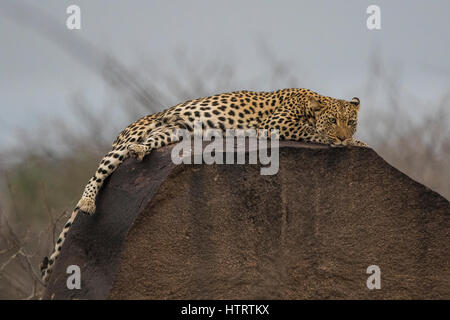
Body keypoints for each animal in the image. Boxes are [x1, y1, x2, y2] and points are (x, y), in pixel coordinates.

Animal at [40, 88, 368, 282]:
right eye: (333, 121)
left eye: (351, 121)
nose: (344, 134)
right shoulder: (278, 125)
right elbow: (314, 133)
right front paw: (347, 142)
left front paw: (355, 141)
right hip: (122, 147)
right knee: (98, 172)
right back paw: (88, 200)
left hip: (173, 133)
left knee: (148, 143)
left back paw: (142, 150)